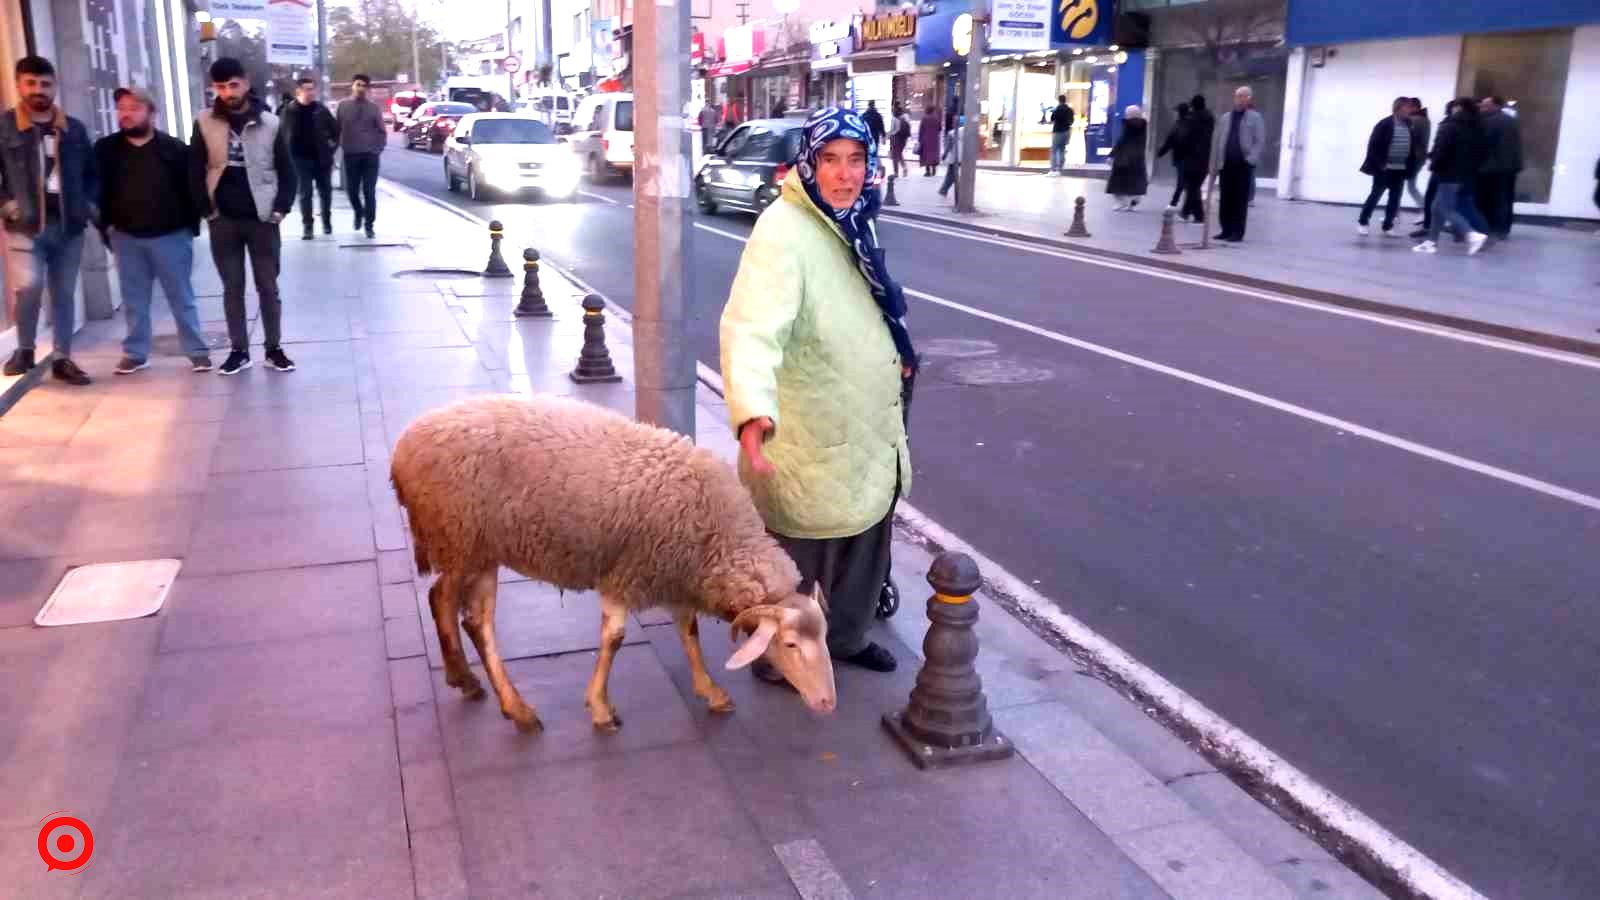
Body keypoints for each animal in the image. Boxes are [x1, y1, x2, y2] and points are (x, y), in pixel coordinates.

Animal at [390, 390, 838, 730]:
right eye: (790, 644)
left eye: (824, 638)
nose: (828, 704)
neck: (718, 537)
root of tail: (403, 448)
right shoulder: (627, 575)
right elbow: (615, 639)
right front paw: (601, 707)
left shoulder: (673, 575)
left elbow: (689, 634)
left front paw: (711, 691)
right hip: (459, 538)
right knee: (446, 604)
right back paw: (502, 700)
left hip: (480, 548)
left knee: (471, 618)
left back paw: (482, 688)